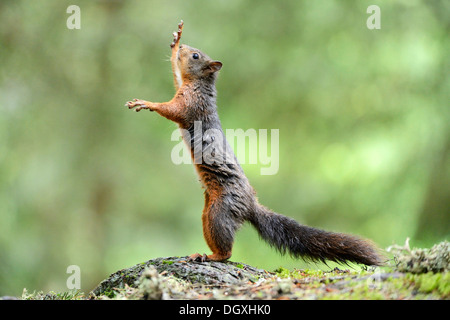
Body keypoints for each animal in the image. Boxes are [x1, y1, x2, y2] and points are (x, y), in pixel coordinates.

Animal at [125, 20, 382, 264]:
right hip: (208, 211)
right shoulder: (182, 87)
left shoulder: (191, 105)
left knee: (227, 250)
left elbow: (172, 110)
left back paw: (211, 256)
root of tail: (250, 204)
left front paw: (147, 103)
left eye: (196, 56)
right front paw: (175, 41)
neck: (199, 84)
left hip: (220, 211)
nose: (183, 48)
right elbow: (175, 76)